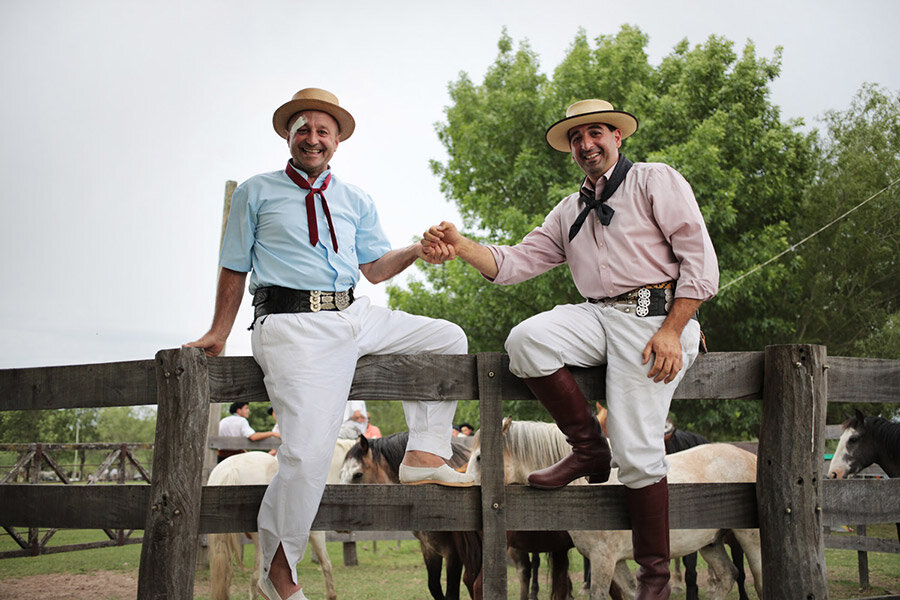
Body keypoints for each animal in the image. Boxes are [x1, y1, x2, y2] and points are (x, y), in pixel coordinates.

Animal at [468, 420, 764, 600]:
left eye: (480, 457)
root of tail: (750, 457)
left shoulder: (603, 560)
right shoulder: (617, 561)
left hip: (750, 539)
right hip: (711, 542)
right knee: (727, 576)